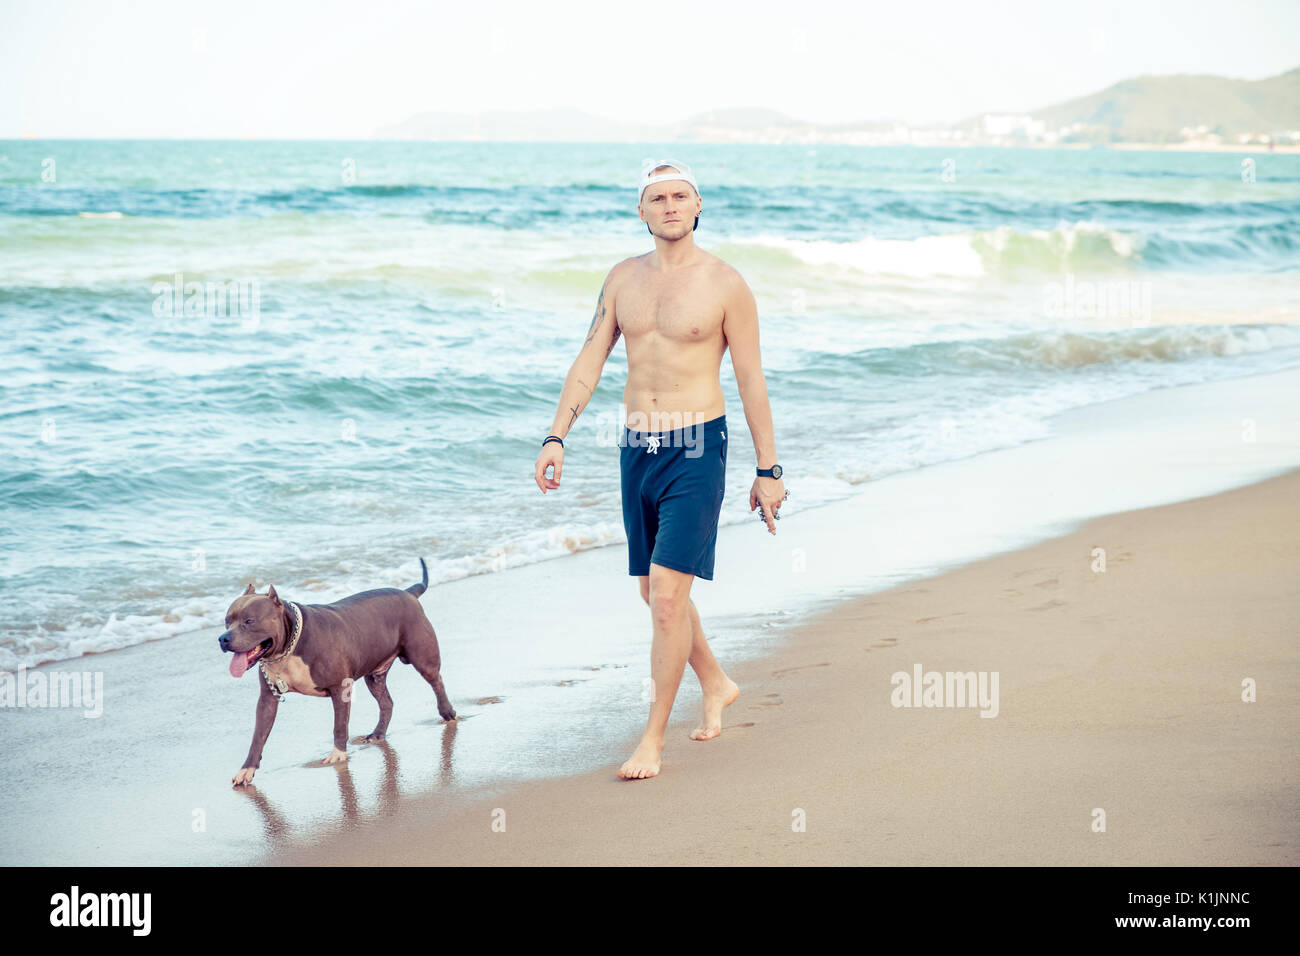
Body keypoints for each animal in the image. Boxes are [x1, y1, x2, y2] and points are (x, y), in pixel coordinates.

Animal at [215, 556, 454, 790]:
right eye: (227, 621)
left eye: (249, 621)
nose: (223, 638)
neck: (289, 647)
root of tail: (408, 593)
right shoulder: (267, 699)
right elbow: (258, 735)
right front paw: (247, 769)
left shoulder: (340, 689)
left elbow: (339, 725)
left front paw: (338, 755)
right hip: (374, 675)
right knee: (387, 702)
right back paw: (377, 734)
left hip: (423, 658)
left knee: (437, 681)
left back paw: (448, 713)